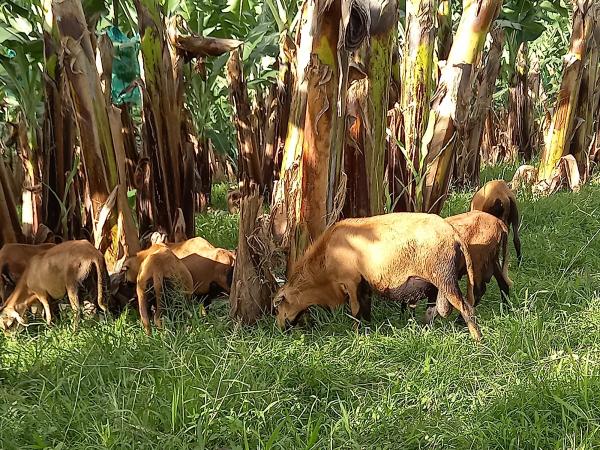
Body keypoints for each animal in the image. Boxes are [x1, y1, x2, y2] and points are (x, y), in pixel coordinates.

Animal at [274, 214, 482, 342]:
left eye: (278, 304)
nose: (280, 328)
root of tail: (454, 234)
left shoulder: (350, 280)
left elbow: (355, 309)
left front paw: (356, 334)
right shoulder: (363, 282)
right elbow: (365, 306)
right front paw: (368, 327)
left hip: (444, 277)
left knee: (466, 308)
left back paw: (477, 340)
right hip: (436, 283)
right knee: (434, 311)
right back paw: (423, 331)